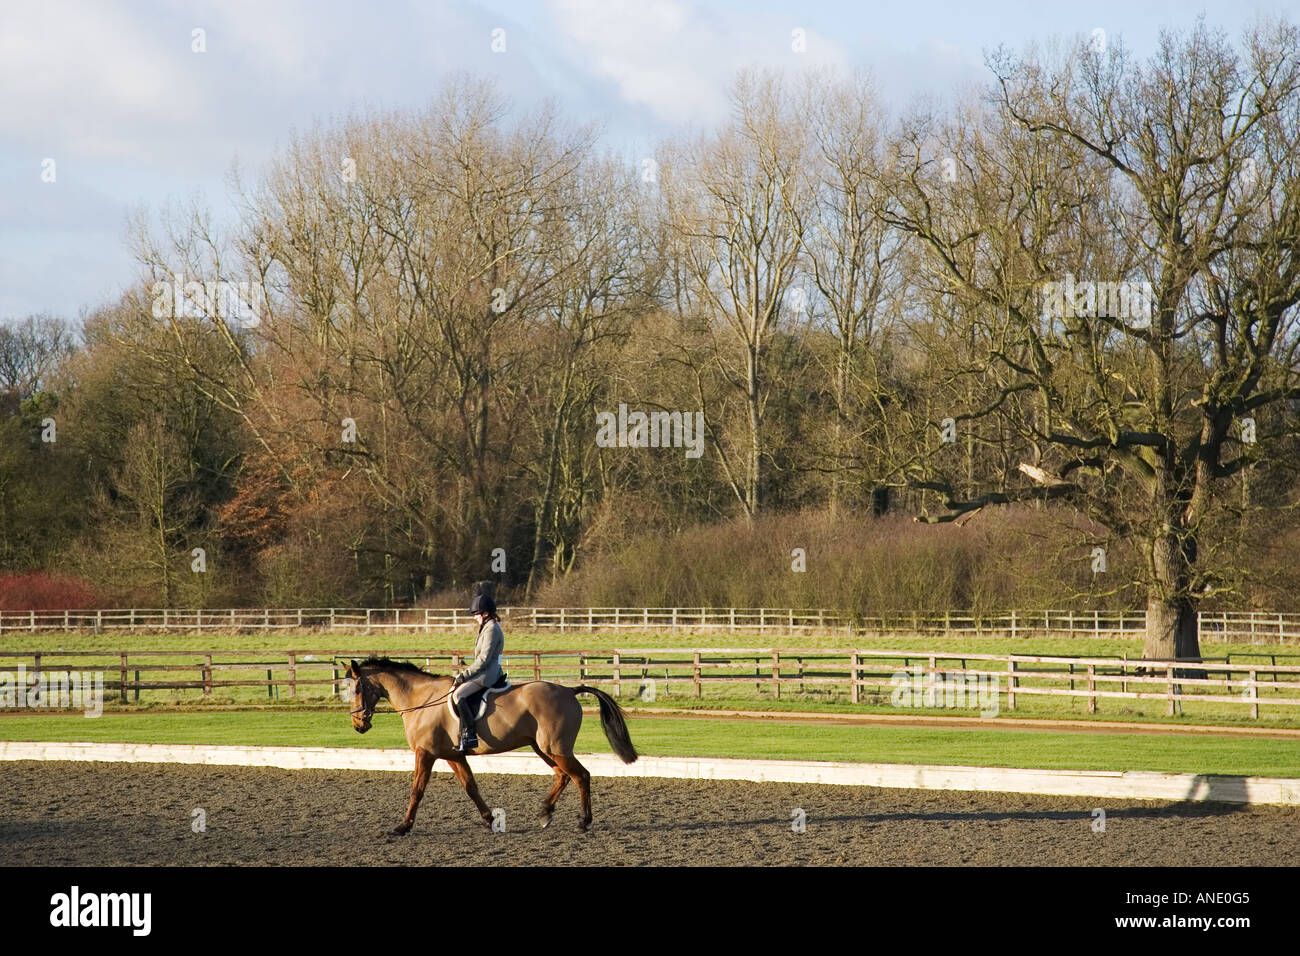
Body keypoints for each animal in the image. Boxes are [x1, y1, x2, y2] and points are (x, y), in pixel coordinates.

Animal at [344, 657, 637, 835]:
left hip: (556, 748)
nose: (358, 724)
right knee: (563, 776)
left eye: (356, 689)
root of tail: (569, 691)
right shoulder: (453, 755)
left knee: (581, 776)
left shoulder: (424, 754)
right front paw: (489, 820)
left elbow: (417, 790)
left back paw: (583, 821)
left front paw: (403, 826)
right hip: (543, 749)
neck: (422, 699)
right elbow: (471, 787)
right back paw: (545, 813)